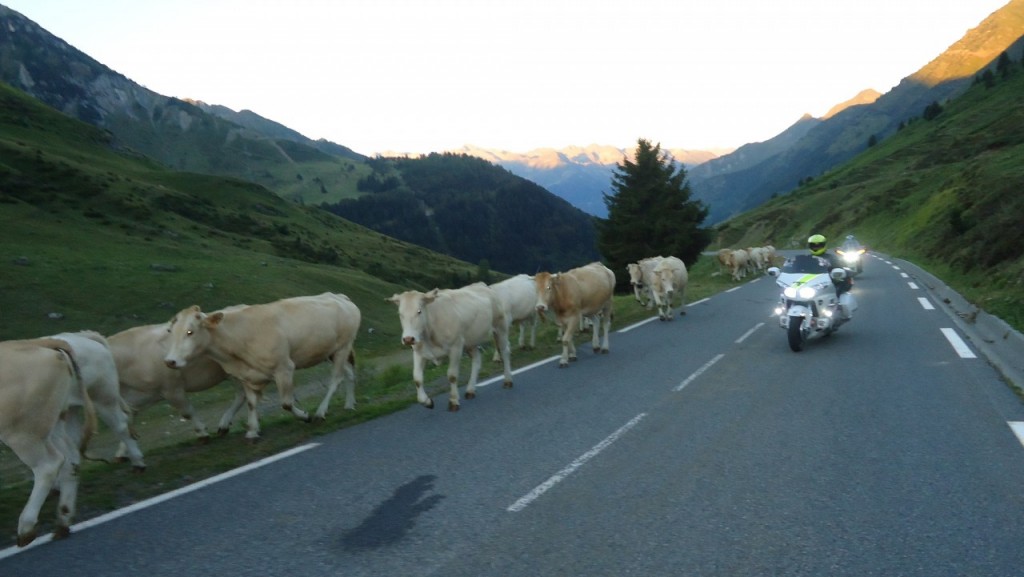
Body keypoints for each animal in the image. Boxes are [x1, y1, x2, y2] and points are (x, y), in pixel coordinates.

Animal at [162, 295, 360, 440]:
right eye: (171, 331)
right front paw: (252, 431)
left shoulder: (284, 368)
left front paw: (305, 416)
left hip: (343, 347)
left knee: (336, 379)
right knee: (349, 374)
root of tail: (339, 296)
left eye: (190, 331)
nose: (170, 361)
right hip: (332, 352)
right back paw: (349, 404)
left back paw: (320, 412)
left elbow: (287, 403)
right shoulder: (246, 376)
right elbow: (251, 403)